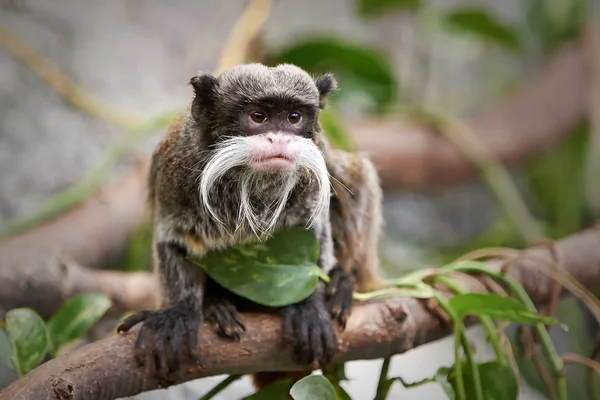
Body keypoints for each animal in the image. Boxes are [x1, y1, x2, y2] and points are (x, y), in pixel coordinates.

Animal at [115, 62, 382, 390]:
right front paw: (179, 311)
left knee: (355, 177)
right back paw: (216, 305)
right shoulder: (174, 174)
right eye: (259, 117)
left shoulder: (312, 178)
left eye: (294, 117)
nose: (279, 139)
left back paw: (342, 283)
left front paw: (308, 305)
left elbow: (316, 234)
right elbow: (173, 241)